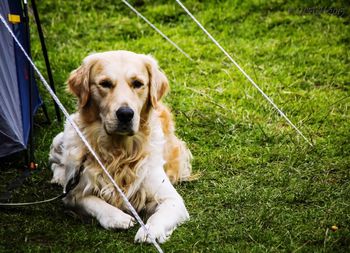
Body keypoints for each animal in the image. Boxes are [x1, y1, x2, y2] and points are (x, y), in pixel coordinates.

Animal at [48, 51, 191, 243]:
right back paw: (59, 177)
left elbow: (159, 215)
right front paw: (117, 217)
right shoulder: (73, 194)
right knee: (55, 161)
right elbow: (93, 201)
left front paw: (149, 231)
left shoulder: (172, 199)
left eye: (137, 84)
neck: (119, 152)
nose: (125, 114)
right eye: (105, 84)